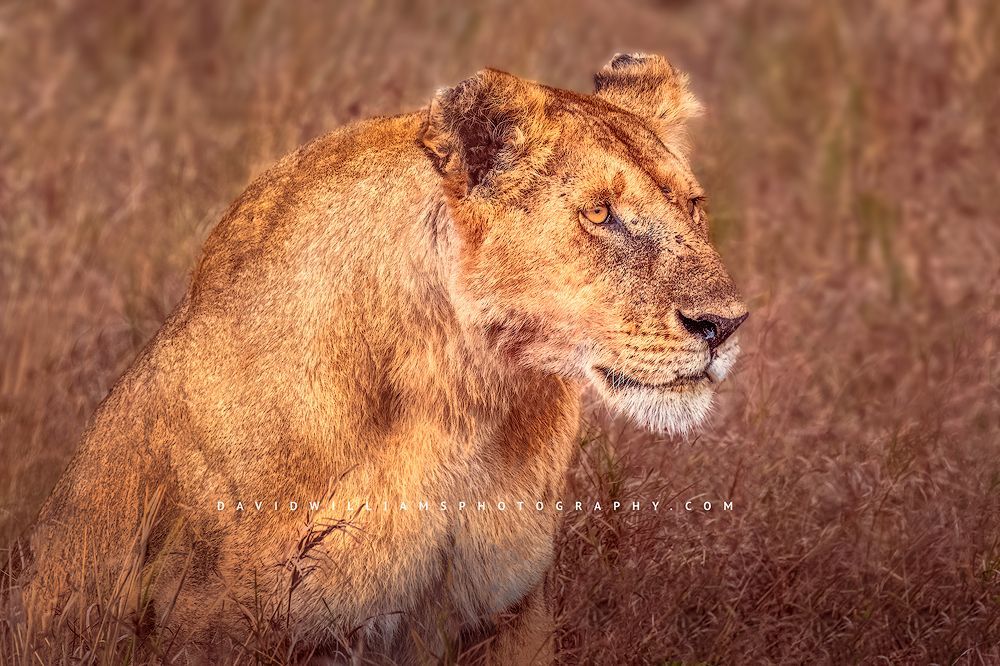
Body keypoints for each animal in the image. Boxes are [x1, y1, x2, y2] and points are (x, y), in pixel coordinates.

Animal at [19, 54, 747, 664]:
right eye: (598, 213)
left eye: (693, 205)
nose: (724, 324)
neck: (465, 402)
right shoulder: (221, 625)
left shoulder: (507, 615)